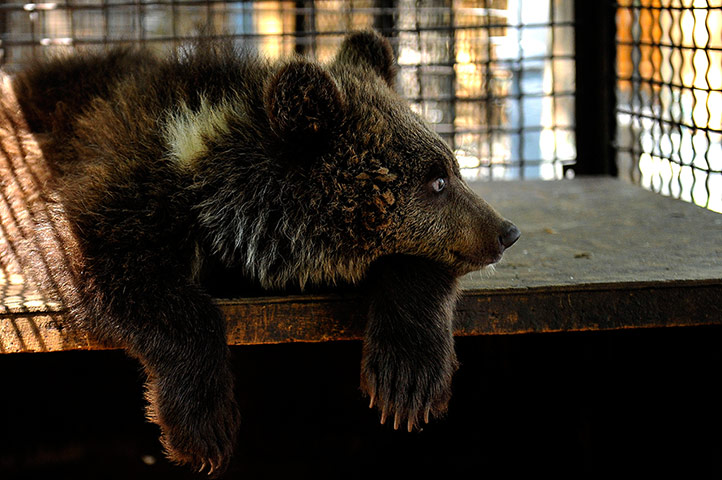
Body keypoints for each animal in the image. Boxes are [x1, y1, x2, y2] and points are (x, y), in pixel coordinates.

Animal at [8, 31, 520, 475]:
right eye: (437, 180)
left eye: (452, 168)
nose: (506, 232)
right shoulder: (122, 185)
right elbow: (109, 266)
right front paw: (203, 426)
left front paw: (407, 379)